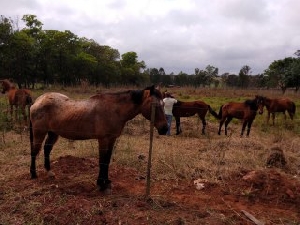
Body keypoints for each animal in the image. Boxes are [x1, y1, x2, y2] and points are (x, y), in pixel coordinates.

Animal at [29, 85, 168, 192]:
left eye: (164, 104)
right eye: (154, 105)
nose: (165, 128)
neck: (114, 110)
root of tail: (37, 101)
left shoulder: (112, 139)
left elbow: (107, 160)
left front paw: (107, 182)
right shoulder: (103, 140)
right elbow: (102, 161)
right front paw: (101, 184)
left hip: (53, 133)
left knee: (46, 150)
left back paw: (49, 172)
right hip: (39, 133)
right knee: (34, 151)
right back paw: (33, 174)